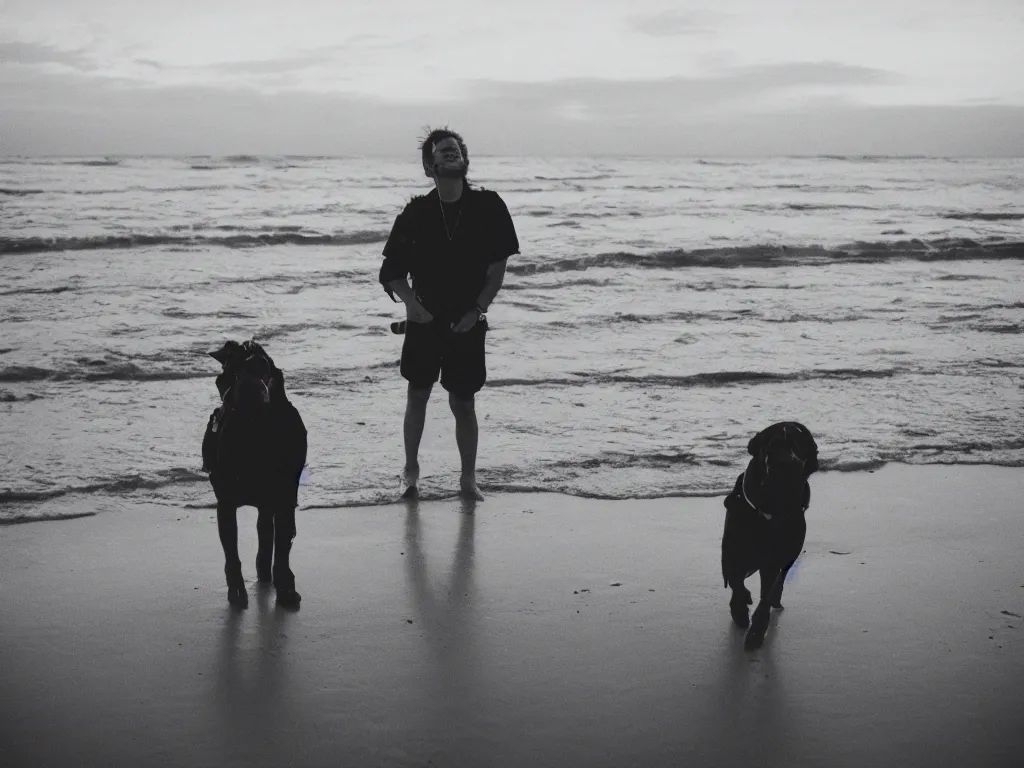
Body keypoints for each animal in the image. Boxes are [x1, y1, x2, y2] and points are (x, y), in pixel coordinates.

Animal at [201, 339, 305, 610]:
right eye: (224, 378)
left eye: (262, 366)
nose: (247, 390)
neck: (255, 430)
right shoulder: (226, 502)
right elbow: (231, 553)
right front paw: (237, 591)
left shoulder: (285, 497)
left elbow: (283, 547)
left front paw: (286, 589)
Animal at [720, 421, 823, 651]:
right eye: (772, 446)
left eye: (801, 446)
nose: (789, 462)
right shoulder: (732, 552)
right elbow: (736, 581)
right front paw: (740, 609)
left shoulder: (776, 557)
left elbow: (767, 591)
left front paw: (756, 632)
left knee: (780, 579)